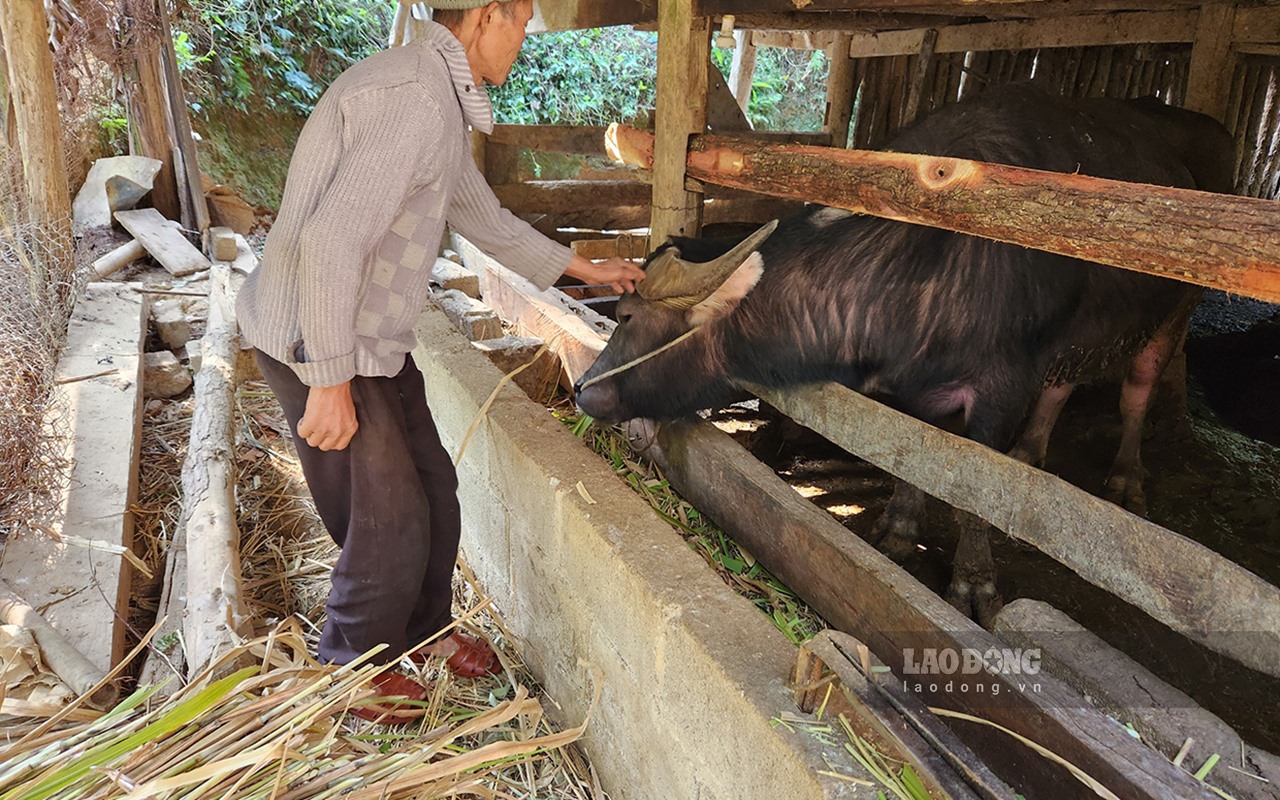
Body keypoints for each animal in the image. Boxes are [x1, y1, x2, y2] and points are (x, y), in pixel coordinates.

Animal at [576, 81, 1233, 622]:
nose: (582, 388)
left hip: (1174, 311)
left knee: (1138, 387)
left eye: (628, 315)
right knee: (1063, 382)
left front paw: (973, 582)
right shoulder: (912, 388)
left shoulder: (1001, 388)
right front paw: (898, 526)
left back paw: (1125, 477)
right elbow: (914, 456)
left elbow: (974, 489)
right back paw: (1032, 451)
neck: (915, 265)